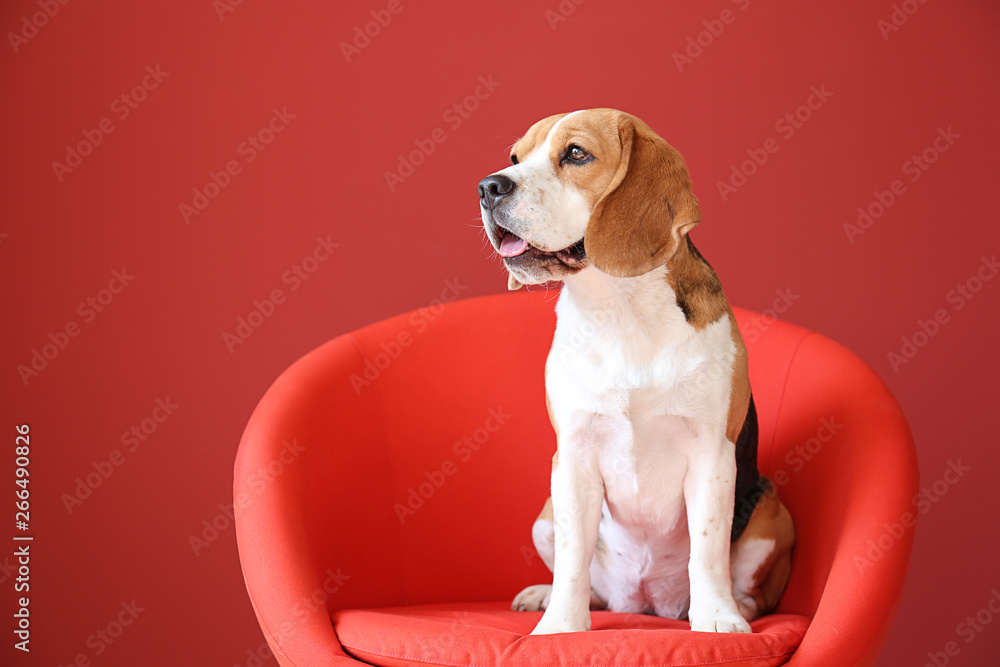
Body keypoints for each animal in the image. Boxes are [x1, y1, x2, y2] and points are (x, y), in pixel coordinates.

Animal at [478, 109, 796, 636]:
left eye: (576, 154)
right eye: (515, 157)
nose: (488, 187)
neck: (617, 307)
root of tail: (646, 604)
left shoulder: (713, 455)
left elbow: (708, 549)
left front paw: (718, 619)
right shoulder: (573, 456)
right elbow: (573, 558)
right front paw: (561, 626)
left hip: (774, 512)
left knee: (755, 590)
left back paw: (733, 609)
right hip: (545, 514)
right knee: (594, 583)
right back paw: (548, 597)